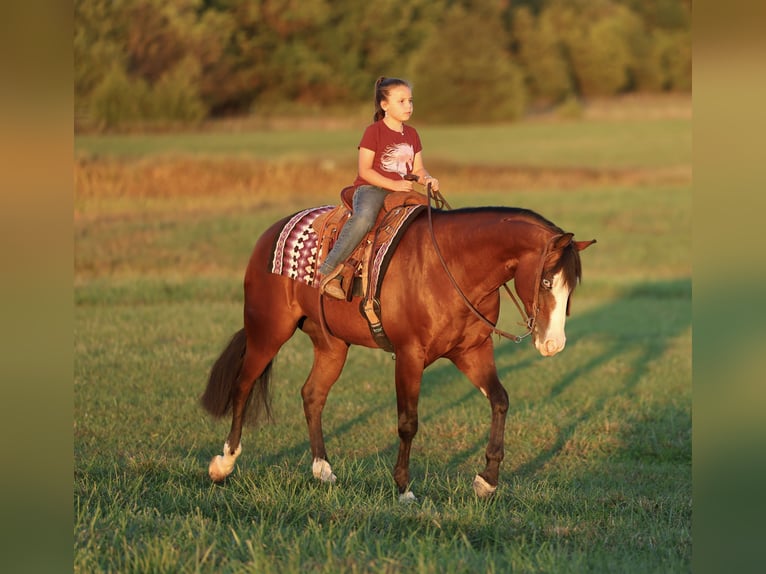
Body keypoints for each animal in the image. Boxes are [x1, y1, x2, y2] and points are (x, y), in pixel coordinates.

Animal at [200, 200, 595, 500]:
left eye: (571, 286)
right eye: (547, 281)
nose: (553, 344)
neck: (452, 267)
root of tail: (271, 233)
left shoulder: (472, 351)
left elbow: (500, 401)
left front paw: (487, 481)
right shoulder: (409, 356)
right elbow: (408, 422)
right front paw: (404, 488)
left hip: (331, 345)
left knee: (312, 395)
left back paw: (322, 469)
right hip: (268, 331)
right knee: (243, 386)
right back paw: (223, 465)